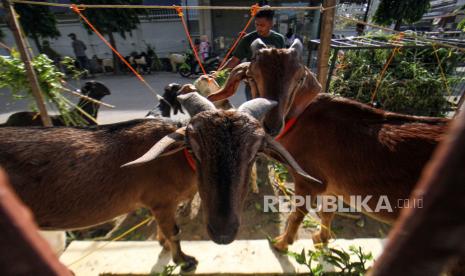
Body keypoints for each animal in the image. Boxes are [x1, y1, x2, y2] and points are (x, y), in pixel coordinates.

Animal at [208, 38, 448, 250]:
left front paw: (282, 243)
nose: (271, 125)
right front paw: (321, 238)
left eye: (299, 79)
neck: (301, 123)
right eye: (251, 77)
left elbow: (297, 214)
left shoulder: (311, 183)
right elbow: (327, 211)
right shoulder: (334, 187)